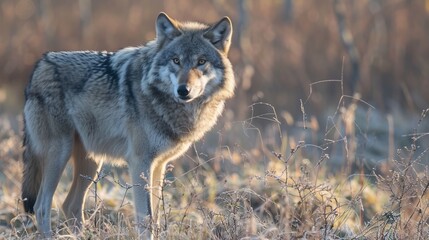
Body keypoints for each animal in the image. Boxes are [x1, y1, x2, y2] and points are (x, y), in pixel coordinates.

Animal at [20, 12, 234, 237]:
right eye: (176, 60)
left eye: (201, 62)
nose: (183, 90)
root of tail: (40, 64)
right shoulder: (140, 162)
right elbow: (146, 220)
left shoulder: (159, 165)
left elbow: (156, 219)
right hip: (60, 154)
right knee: (42, 207)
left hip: (91, 162)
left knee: (70, 205)